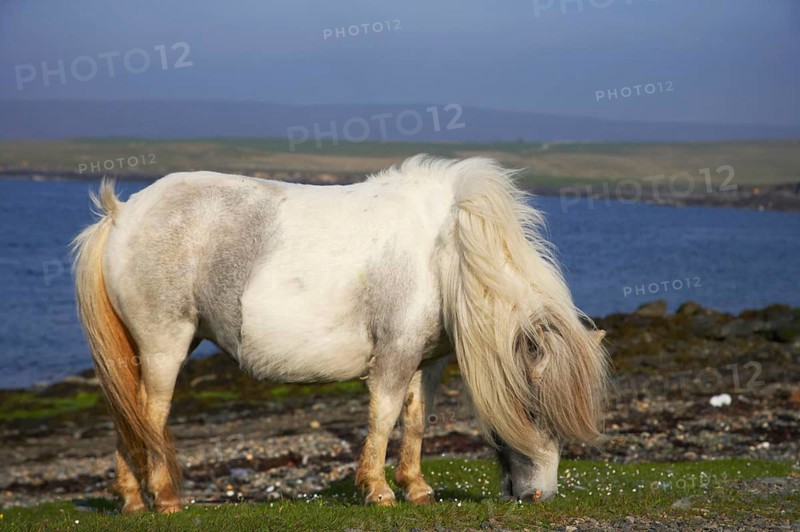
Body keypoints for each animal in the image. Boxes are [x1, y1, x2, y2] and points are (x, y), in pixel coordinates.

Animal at [72, 155, 609, 513]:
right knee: (151, 414)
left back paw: (132, 500)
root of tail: (123, 214)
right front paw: (378, 490)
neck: (446, 251)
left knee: (128, 414)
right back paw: (164, 499)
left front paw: (416, 488)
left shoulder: (428, 360)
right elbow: (384, 417)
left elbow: (416, 420)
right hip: (164, 344)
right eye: (533, 408)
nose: (539, 495)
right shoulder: (394, 355)